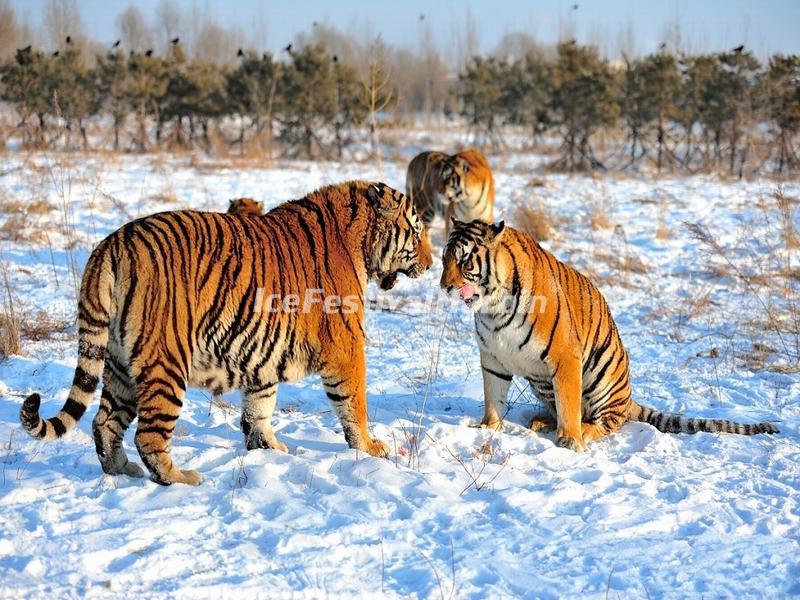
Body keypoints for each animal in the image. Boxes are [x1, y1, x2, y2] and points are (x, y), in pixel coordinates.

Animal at [18, 180, 432, 486]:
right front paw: (369, 446)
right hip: (167, 360)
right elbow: (354, 403)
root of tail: (110, 244)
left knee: (103, 424)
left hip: (119, 362)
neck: (359, 242)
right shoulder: (346, 346)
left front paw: (267, 447)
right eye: (415, 232)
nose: (430, 264)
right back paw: (181, 478)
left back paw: (122, 470)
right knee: (148, 436)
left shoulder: (266, 348)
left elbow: (260, 405)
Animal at [440, 219, 780, 450]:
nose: (444, 286)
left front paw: (571, 440)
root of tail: (628, 398)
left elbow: (569, 402)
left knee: (610, 420)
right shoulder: (493, 357)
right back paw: (542, 421)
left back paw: (583, 429)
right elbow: (493, 396)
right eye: (445, 259)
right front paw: (488, 427)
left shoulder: (565, 358)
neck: (493, 306)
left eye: (465, 260)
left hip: (603, 375)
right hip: (543, 383)